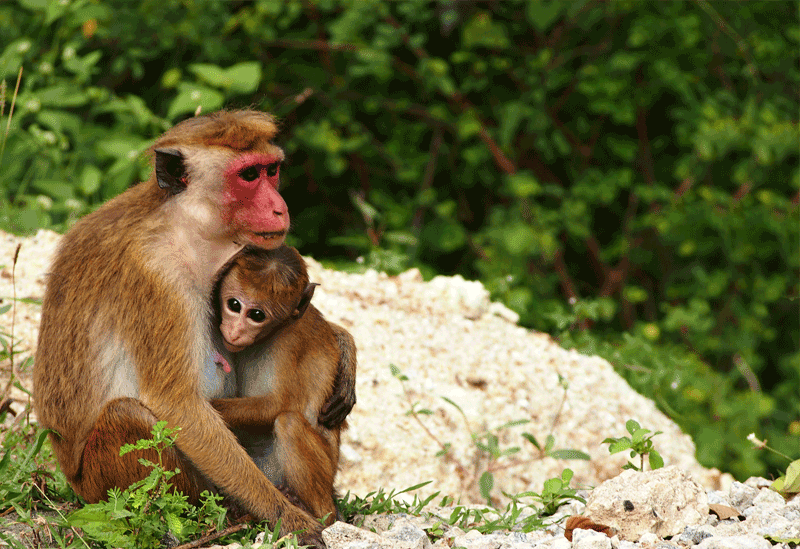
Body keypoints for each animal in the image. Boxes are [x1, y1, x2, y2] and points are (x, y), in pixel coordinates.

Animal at [209, 246, 356, 524]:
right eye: (234, 305)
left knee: (289, 423)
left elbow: (277, 405)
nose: (235, 331)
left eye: (257, 315)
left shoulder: (289, 344)